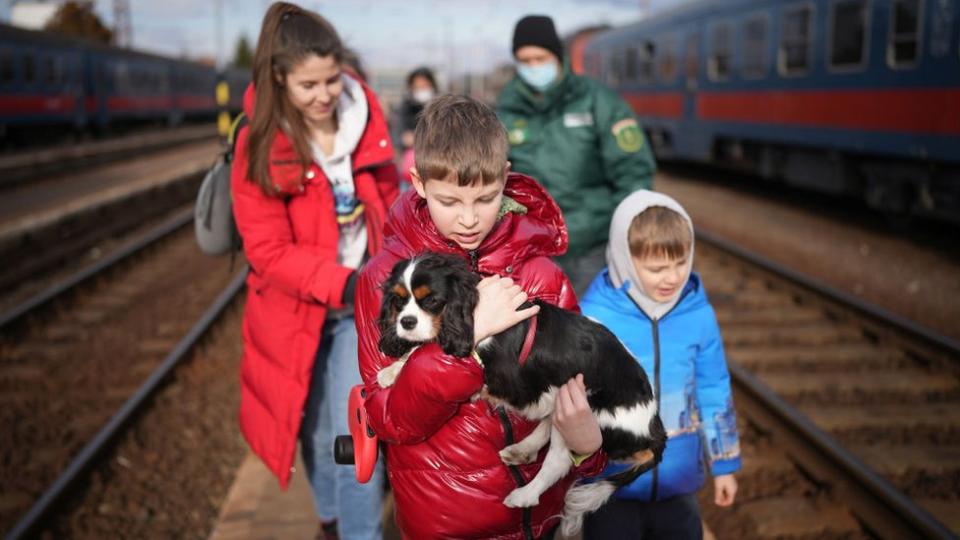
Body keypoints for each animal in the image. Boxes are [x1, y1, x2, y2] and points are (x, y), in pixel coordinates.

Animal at [376, 253, 668, 536]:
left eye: (432, 300)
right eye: (398, 301)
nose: (406, 322)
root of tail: (653, 427)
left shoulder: (504, 377)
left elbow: (433, 348)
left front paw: (397, 367)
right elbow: (422, 349)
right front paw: (393, 370)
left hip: (586, 410)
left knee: (558, 460)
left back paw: (524, 494)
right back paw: (522, 450)